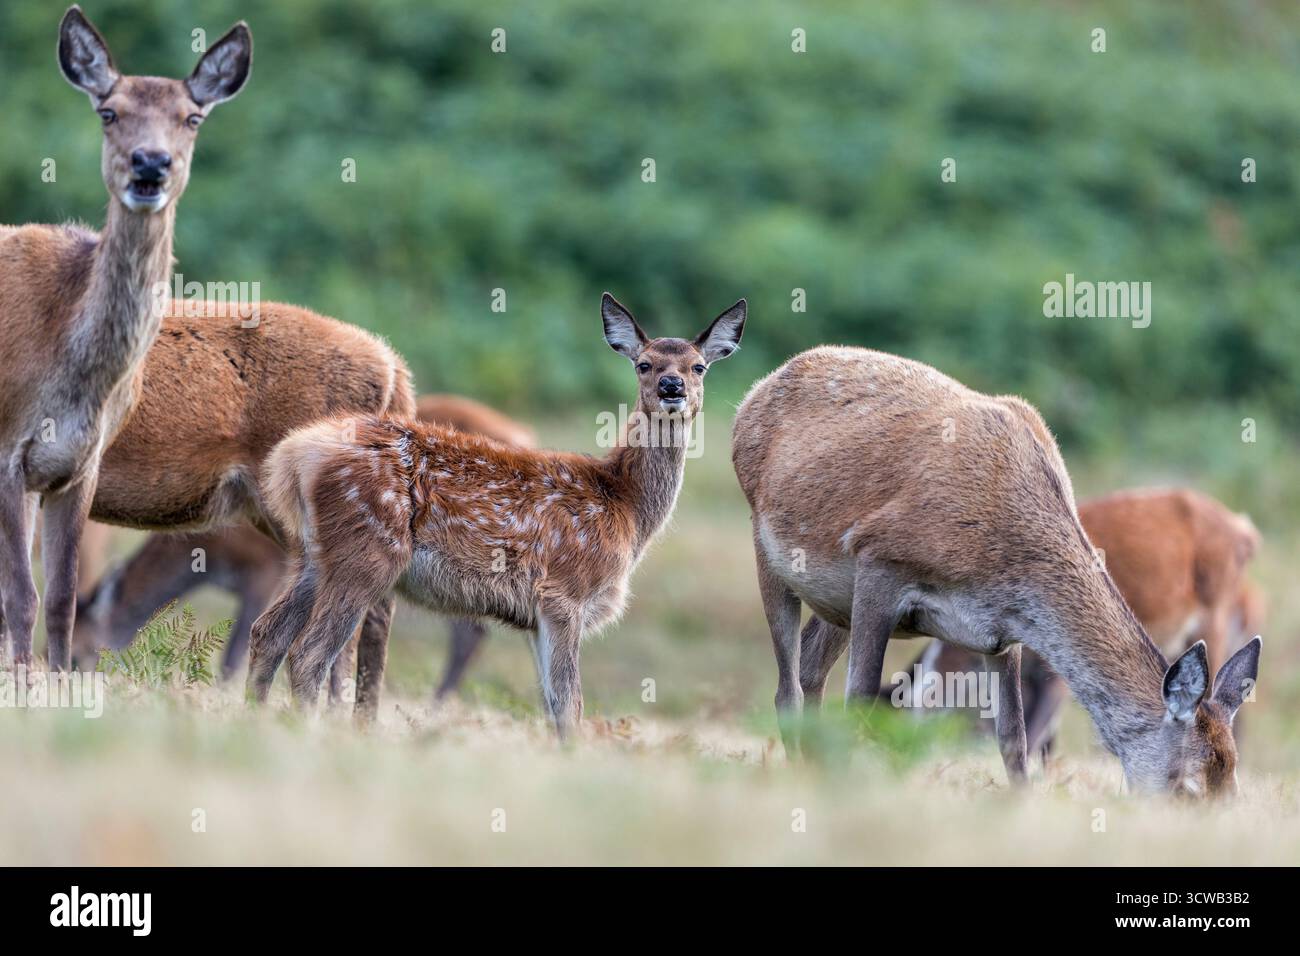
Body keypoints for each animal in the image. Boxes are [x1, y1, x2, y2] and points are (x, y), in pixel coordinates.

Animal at [0, 6, 251, 674]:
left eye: (191, 117)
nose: (150, 163)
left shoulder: (79, 465)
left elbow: (61, 599)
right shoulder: (4, 449)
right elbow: (21, 598)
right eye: (108, 111)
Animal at [70, 395, 535, 694]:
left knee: (471, 632)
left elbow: (232, 655)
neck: (211, 552)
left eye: (80, 652)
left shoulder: (264, 569)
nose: (72, 672)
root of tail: (523, 434)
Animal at [245, 294, 746, 738]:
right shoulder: (563, 592)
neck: (625, 505)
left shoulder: (535, 616)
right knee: (309, 654)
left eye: (698, 366)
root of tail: (296, 456)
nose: (671, 387)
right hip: (366, 548)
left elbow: (551, 706)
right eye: (644, 363)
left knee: (267, 634)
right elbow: (571, 706)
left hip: (313, 554)